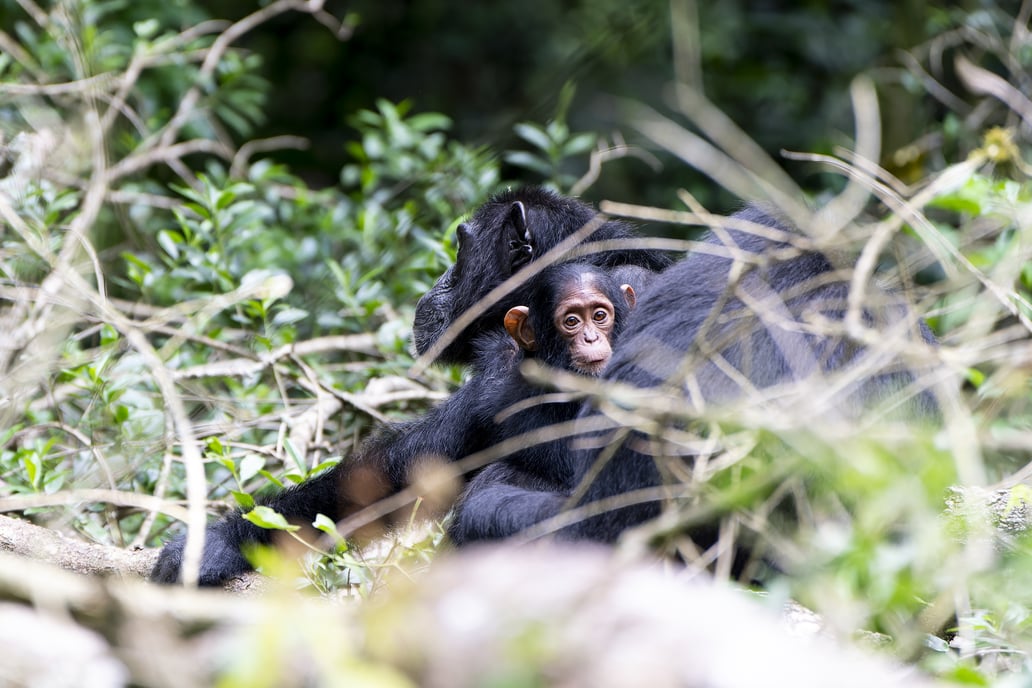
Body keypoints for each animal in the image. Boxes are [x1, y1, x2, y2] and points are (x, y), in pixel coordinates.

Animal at [151, 260, 635, 585]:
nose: (591, 336)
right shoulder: (484, 403)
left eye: (600, 314)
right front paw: (216, 545)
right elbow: (388, 477)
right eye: (571, 320)